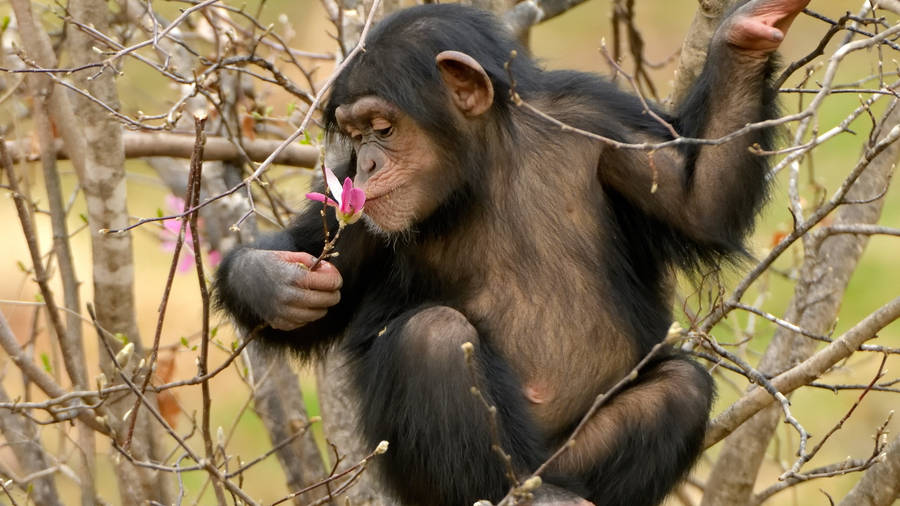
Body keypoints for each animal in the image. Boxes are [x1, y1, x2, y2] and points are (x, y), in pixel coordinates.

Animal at [216, 1, 808, 504]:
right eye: (355, 137)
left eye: (382, 128)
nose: (366, 165)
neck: (484, 164)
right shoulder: (353, 207)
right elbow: (322, 275)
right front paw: (271, 281)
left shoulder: (599, 121)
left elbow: (697, 199)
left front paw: (744, 37)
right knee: (432, 336)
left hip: (569, 458)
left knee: (680, 389)